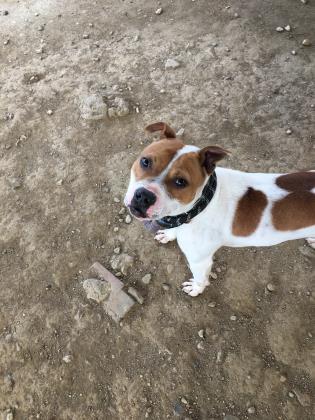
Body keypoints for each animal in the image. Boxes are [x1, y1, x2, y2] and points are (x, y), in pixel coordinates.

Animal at [124, 123, 314, 296]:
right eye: (145, 161)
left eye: (180, 182)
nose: (144, 196)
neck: (200, 206)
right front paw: (168, 234)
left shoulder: (200, 262)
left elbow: (201, 279)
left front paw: (196, 289)